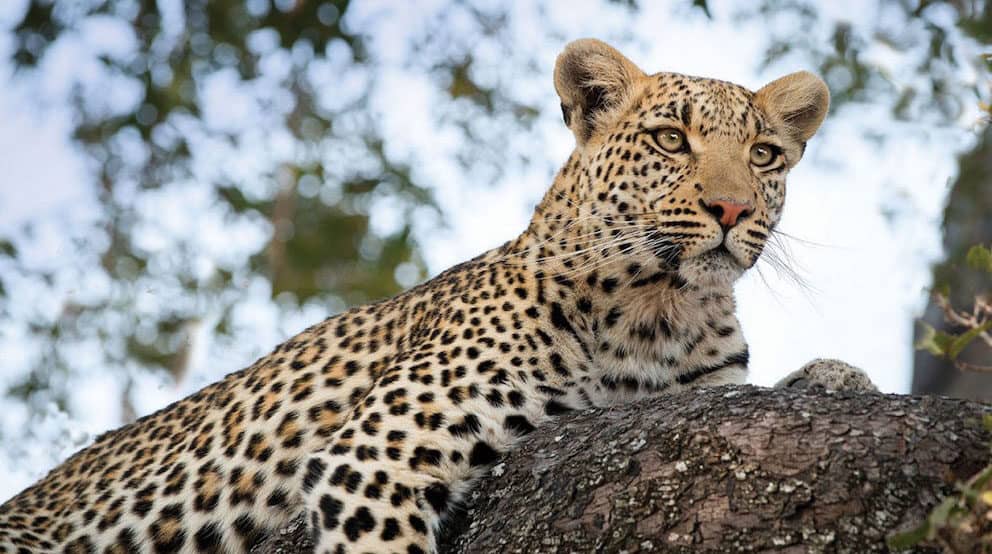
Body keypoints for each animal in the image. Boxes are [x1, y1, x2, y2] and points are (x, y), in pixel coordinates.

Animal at [0, 38, 874, 554]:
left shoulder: (695, 394)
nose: (733, 211)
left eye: (764, 155)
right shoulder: (370, 457)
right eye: (670, 140)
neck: (665, 313)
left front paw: (839, 375)